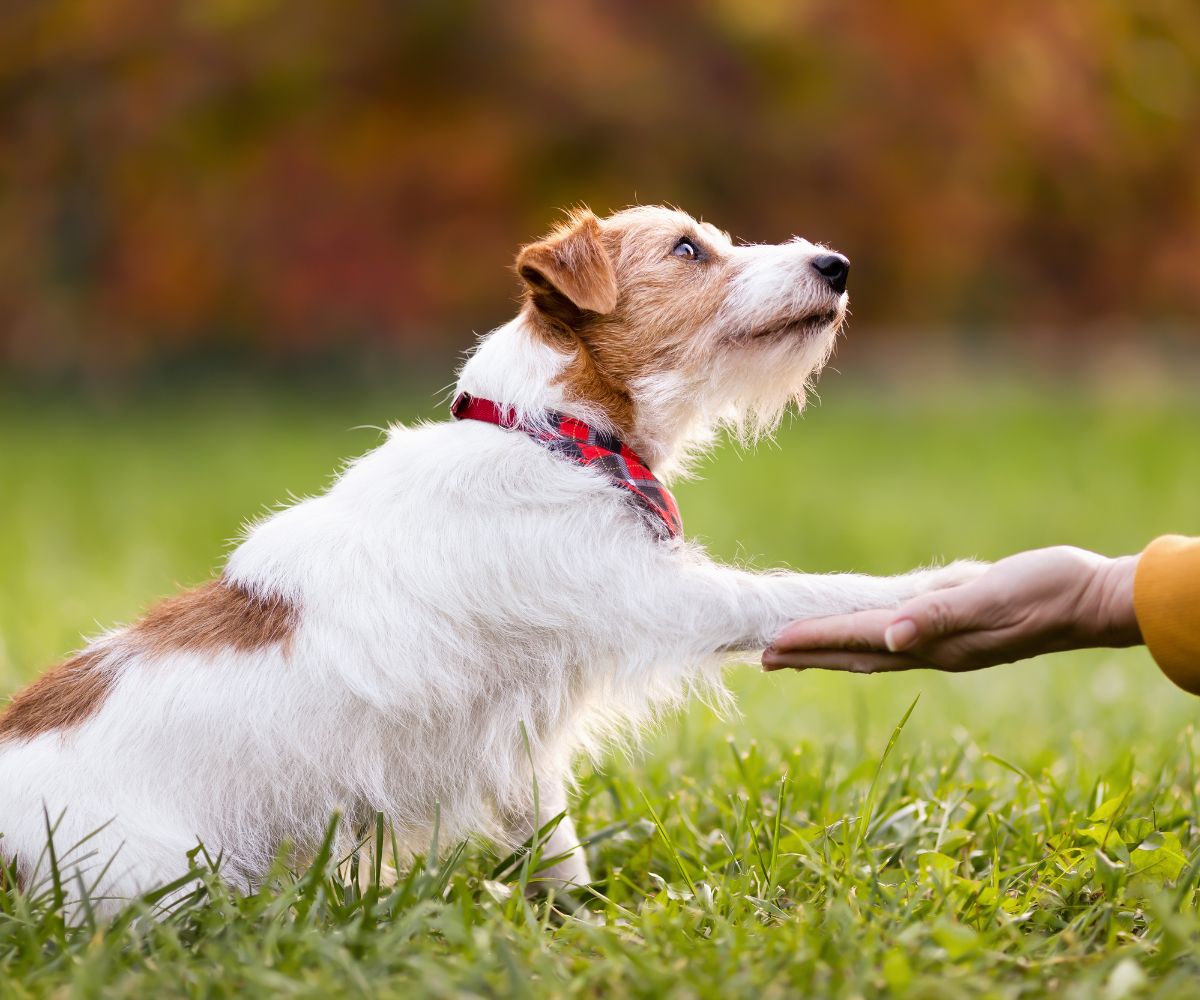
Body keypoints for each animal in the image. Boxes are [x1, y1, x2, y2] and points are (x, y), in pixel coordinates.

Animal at [0, 206, 974, 907]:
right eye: (689, 249)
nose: (835, 264)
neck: (551, 436)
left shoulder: (521, 749)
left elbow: (554, 844)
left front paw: (580, 918)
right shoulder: (652, 597)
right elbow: (793, 591)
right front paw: (936, 583)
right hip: (160, 879)